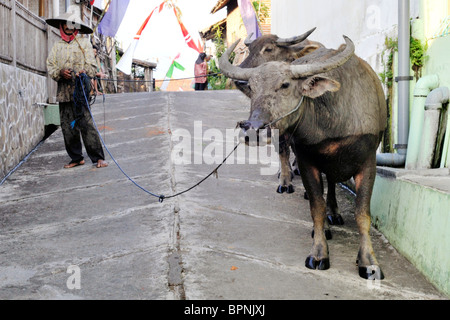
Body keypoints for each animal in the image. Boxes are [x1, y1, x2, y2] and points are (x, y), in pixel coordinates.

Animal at [219, 36, 386, 278]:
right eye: (252, 87)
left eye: (285, 85)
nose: (252, 129)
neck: (332, 120)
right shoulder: (308, 162)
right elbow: (316, 208)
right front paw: (319, 253)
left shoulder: (368, 163)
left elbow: (362, 214)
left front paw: (368, 262)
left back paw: (335, 213)